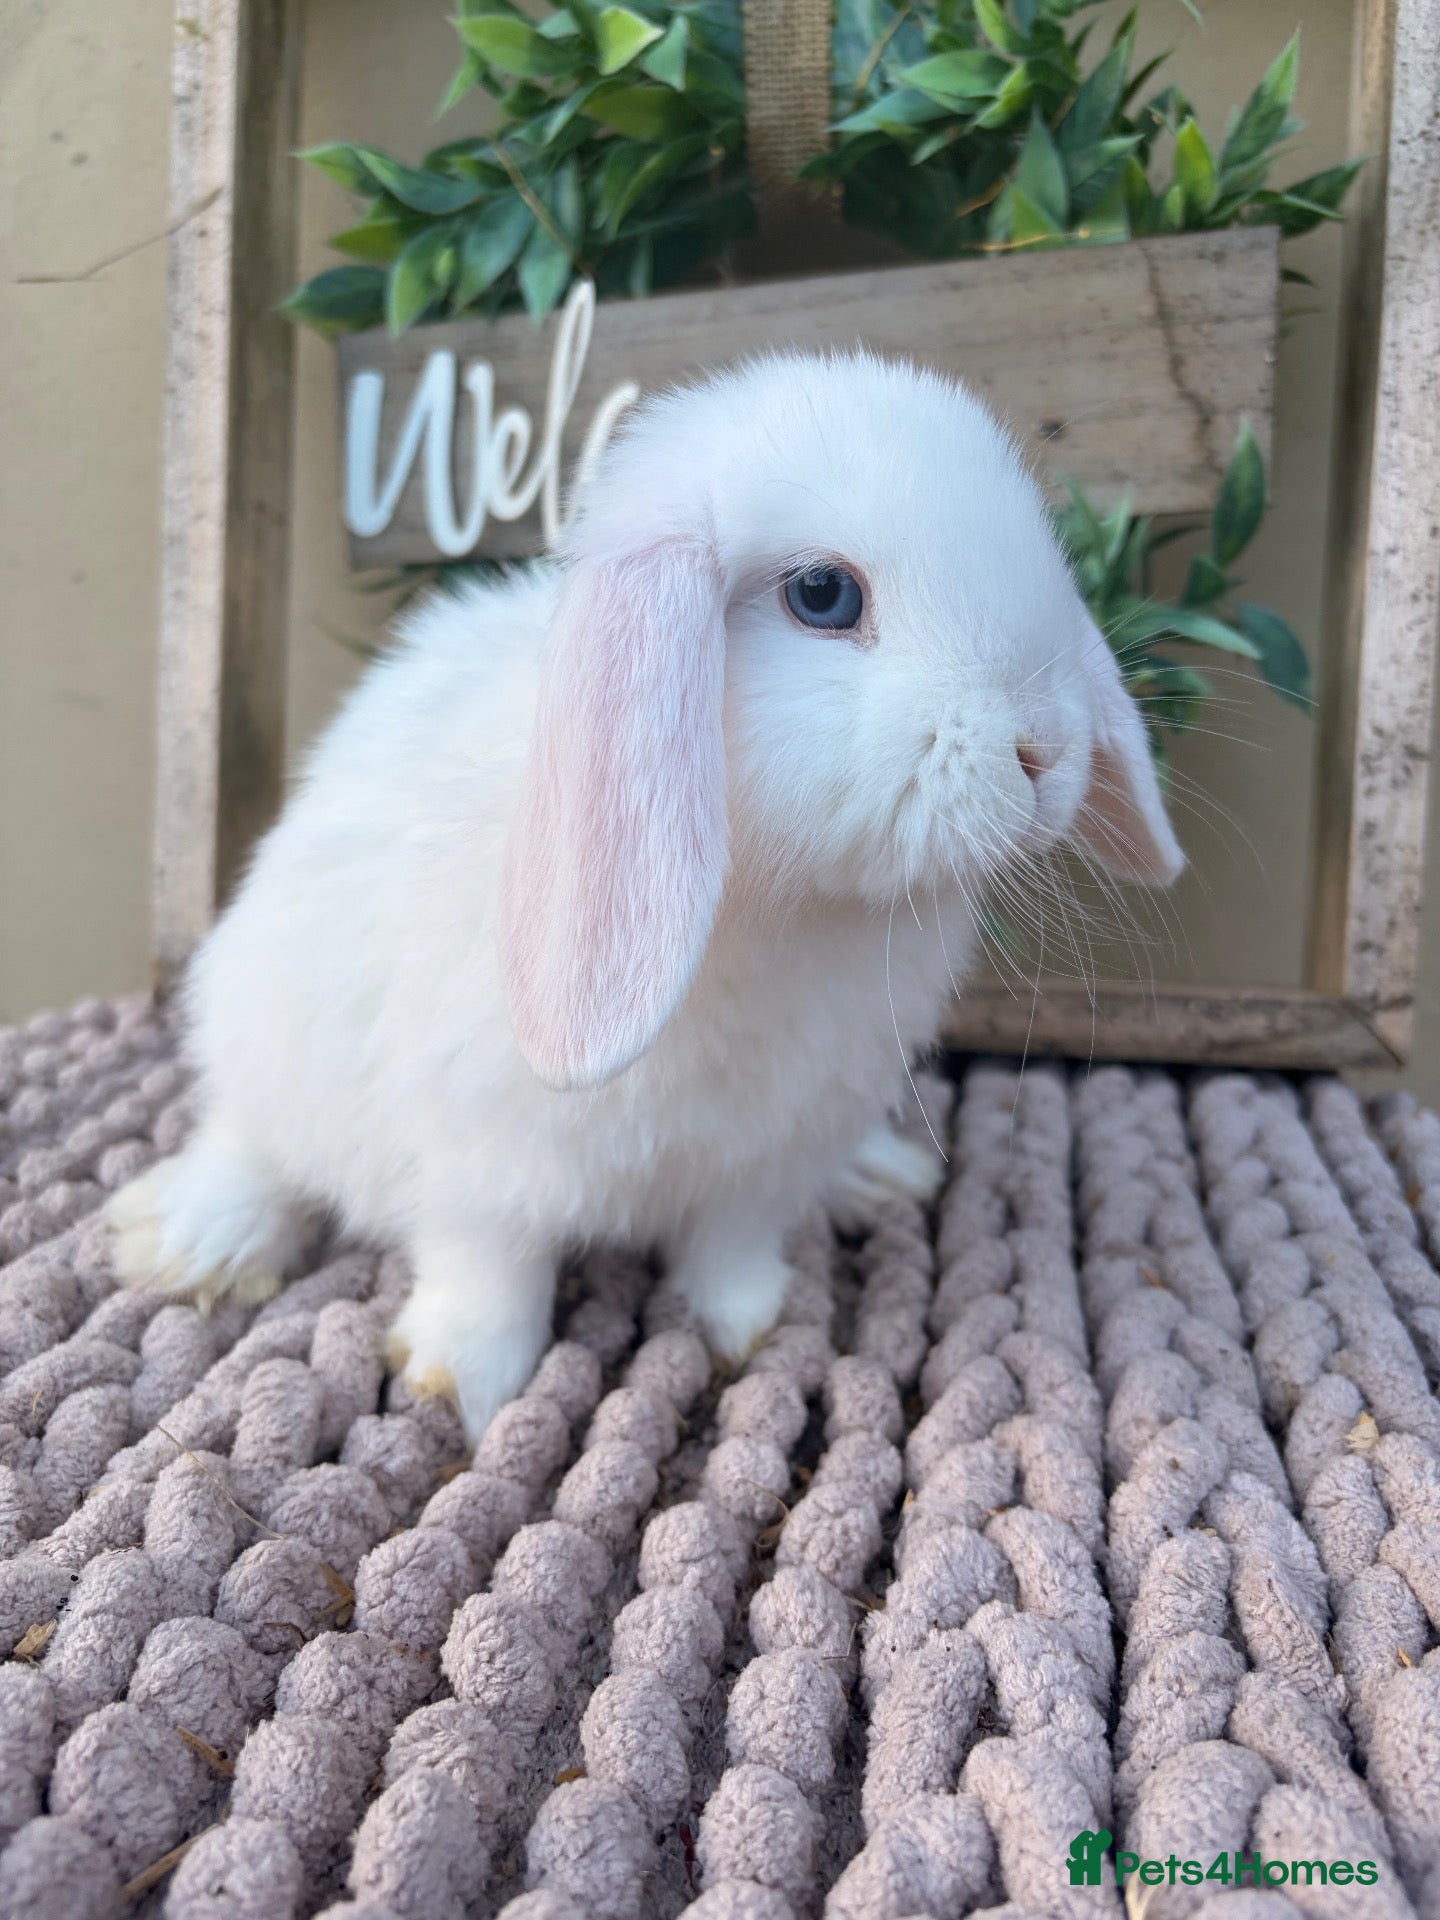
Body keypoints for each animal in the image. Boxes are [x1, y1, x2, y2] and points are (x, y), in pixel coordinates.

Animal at [111, 349, 1182, 1442]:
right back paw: (188, 1241)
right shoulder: (481, 1160)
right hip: (267, 1035)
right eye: (823, 595)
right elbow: (488, 1266)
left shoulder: (769, 1151)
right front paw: (465, 1387)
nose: (1044, 750)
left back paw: (880, 1177)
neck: (776, 905)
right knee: (251, 1146)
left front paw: (759, 1327)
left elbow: (734, 1248)